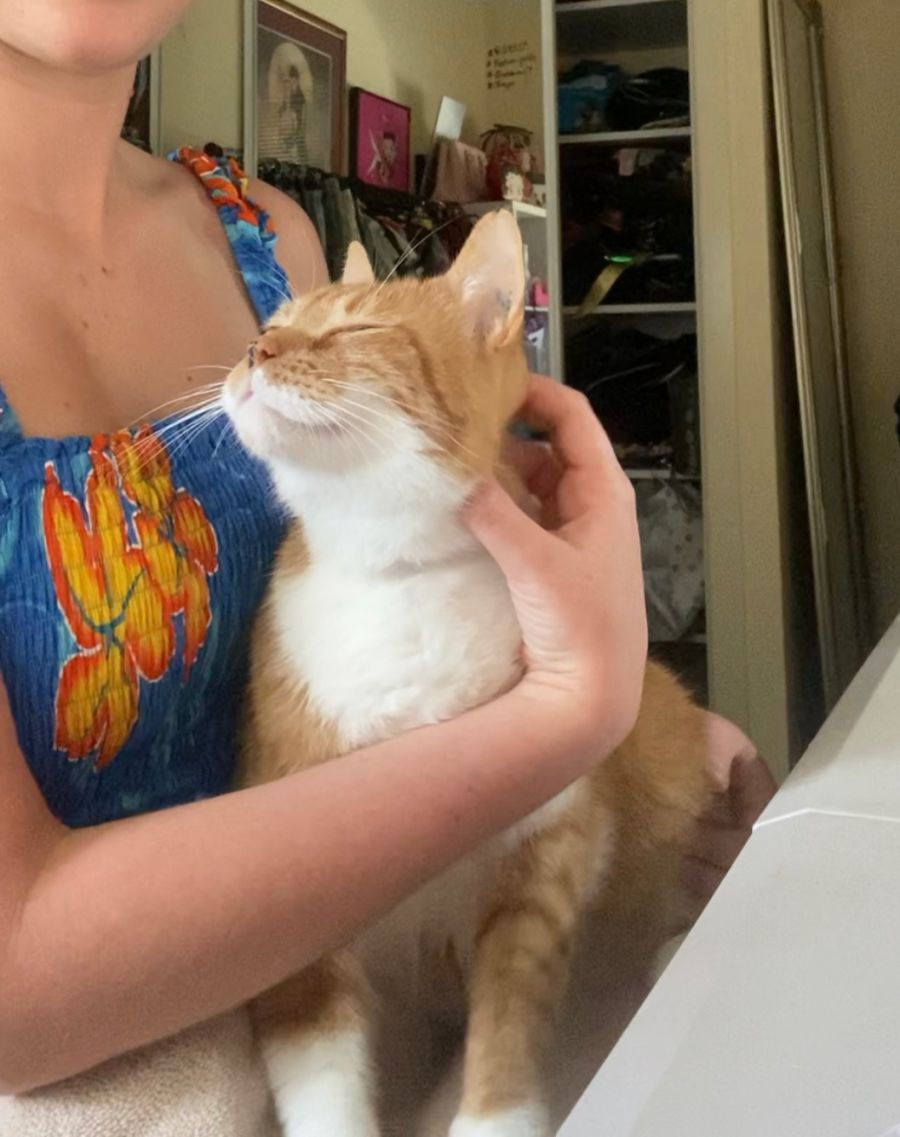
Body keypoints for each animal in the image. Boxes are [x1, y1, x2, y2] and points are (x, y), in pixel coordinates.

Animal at [222, 211, 711, 1137]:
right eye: (273, 322)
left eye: (354, 328)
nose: (253, 349)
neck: (395, 579)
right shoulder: (294, 904)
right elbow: (323, 1070)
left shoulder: (550, 842)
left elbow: (511, 1014)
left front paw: (494, 1115)